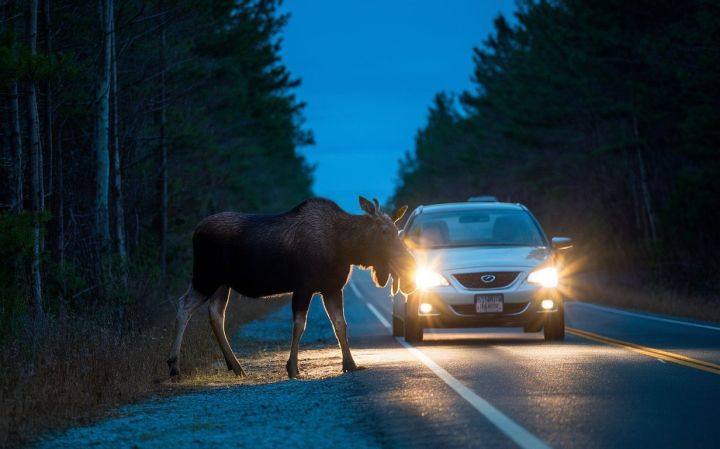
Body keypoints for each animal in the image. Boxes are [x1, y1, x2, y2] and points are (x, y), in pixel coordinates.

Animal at [167, 194, 416, 376]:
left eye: (397, 231)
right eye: (385, 232)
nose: (410, 263)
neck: (347, 248)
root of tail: (195, 231)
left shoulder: (332, 288)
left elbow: (340, 324)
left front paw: (350, 364)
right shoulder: (303, 287)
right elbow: (300, 325)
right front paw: (293, 368)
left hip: (221, 284)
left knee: (215, 313)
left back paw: (235, 366)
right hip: (205, 277)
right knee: (183, 305)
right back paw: (174, 366)